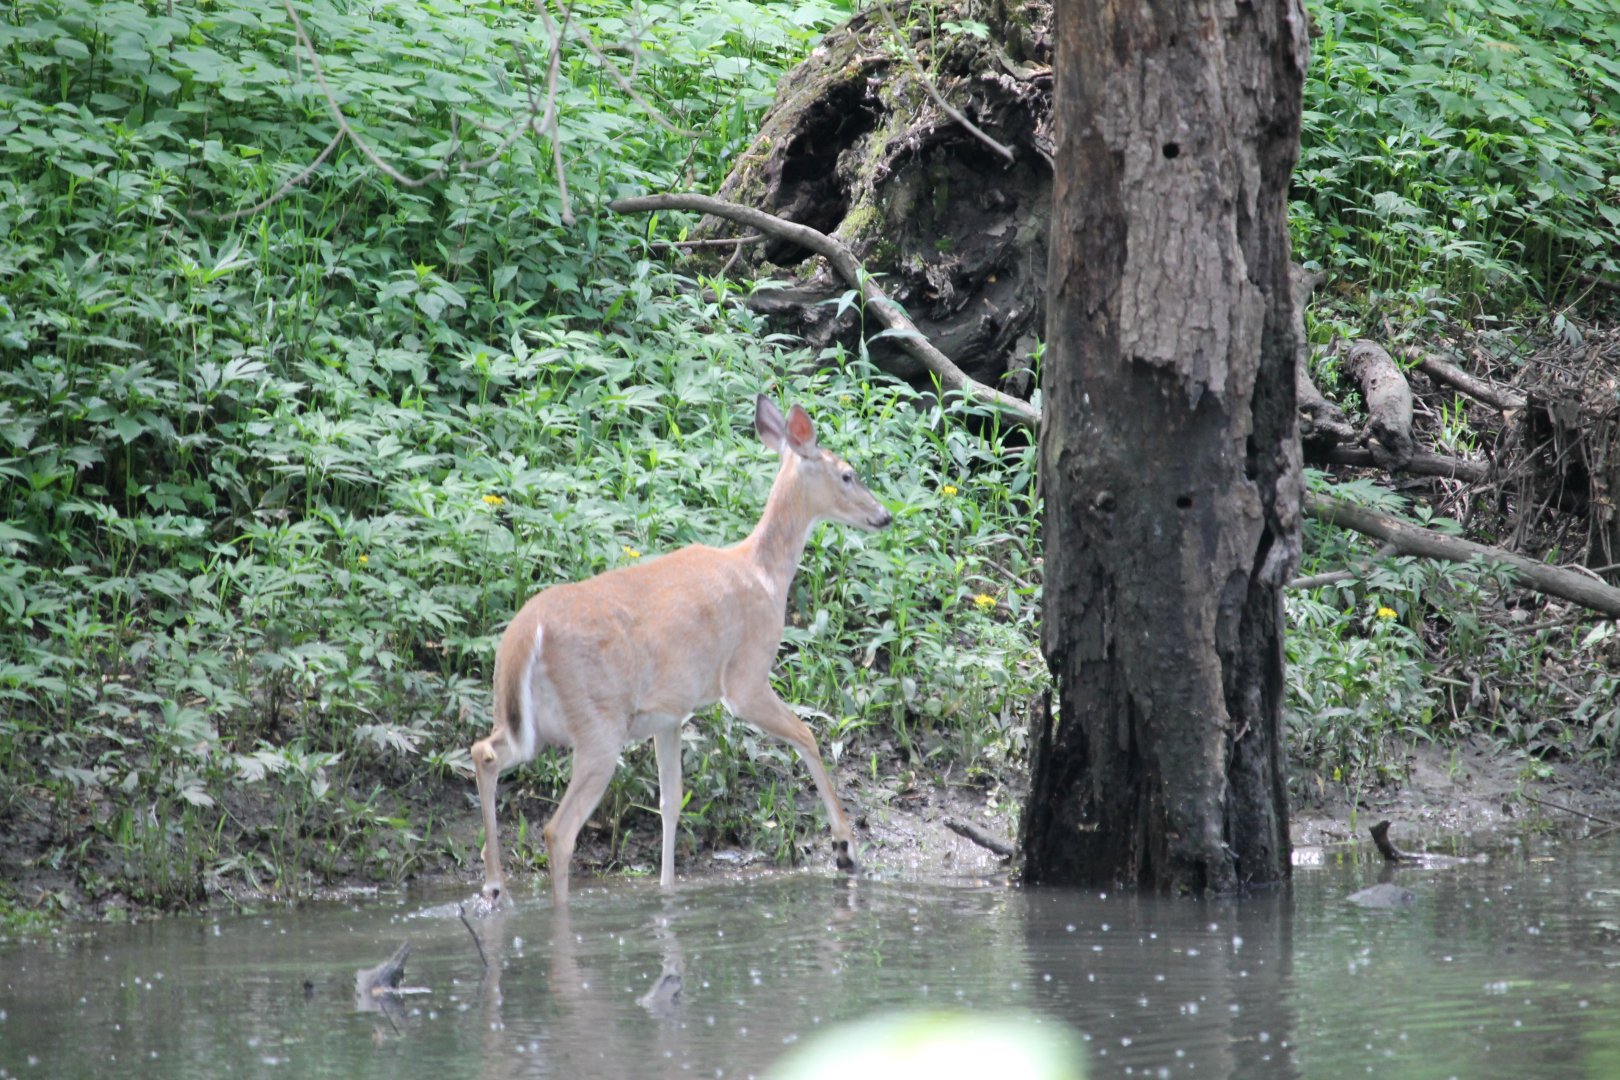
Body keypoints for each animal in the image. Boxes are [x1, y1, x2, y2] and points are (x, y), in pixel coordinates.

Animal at [471, 394, 894, 905]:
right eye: (848, 474)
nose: (885, 515)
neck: (765, 574)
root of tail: (524, 635)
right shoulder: (745, 677)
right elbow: (806, 734)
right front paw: (846, 847)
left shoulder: (669, 715)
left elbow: (670, 801)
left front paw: (667, 890)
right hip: (599, 723)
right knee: (558, 831)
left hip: (526, 722)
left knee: (484, 752)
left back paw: (495, 886)